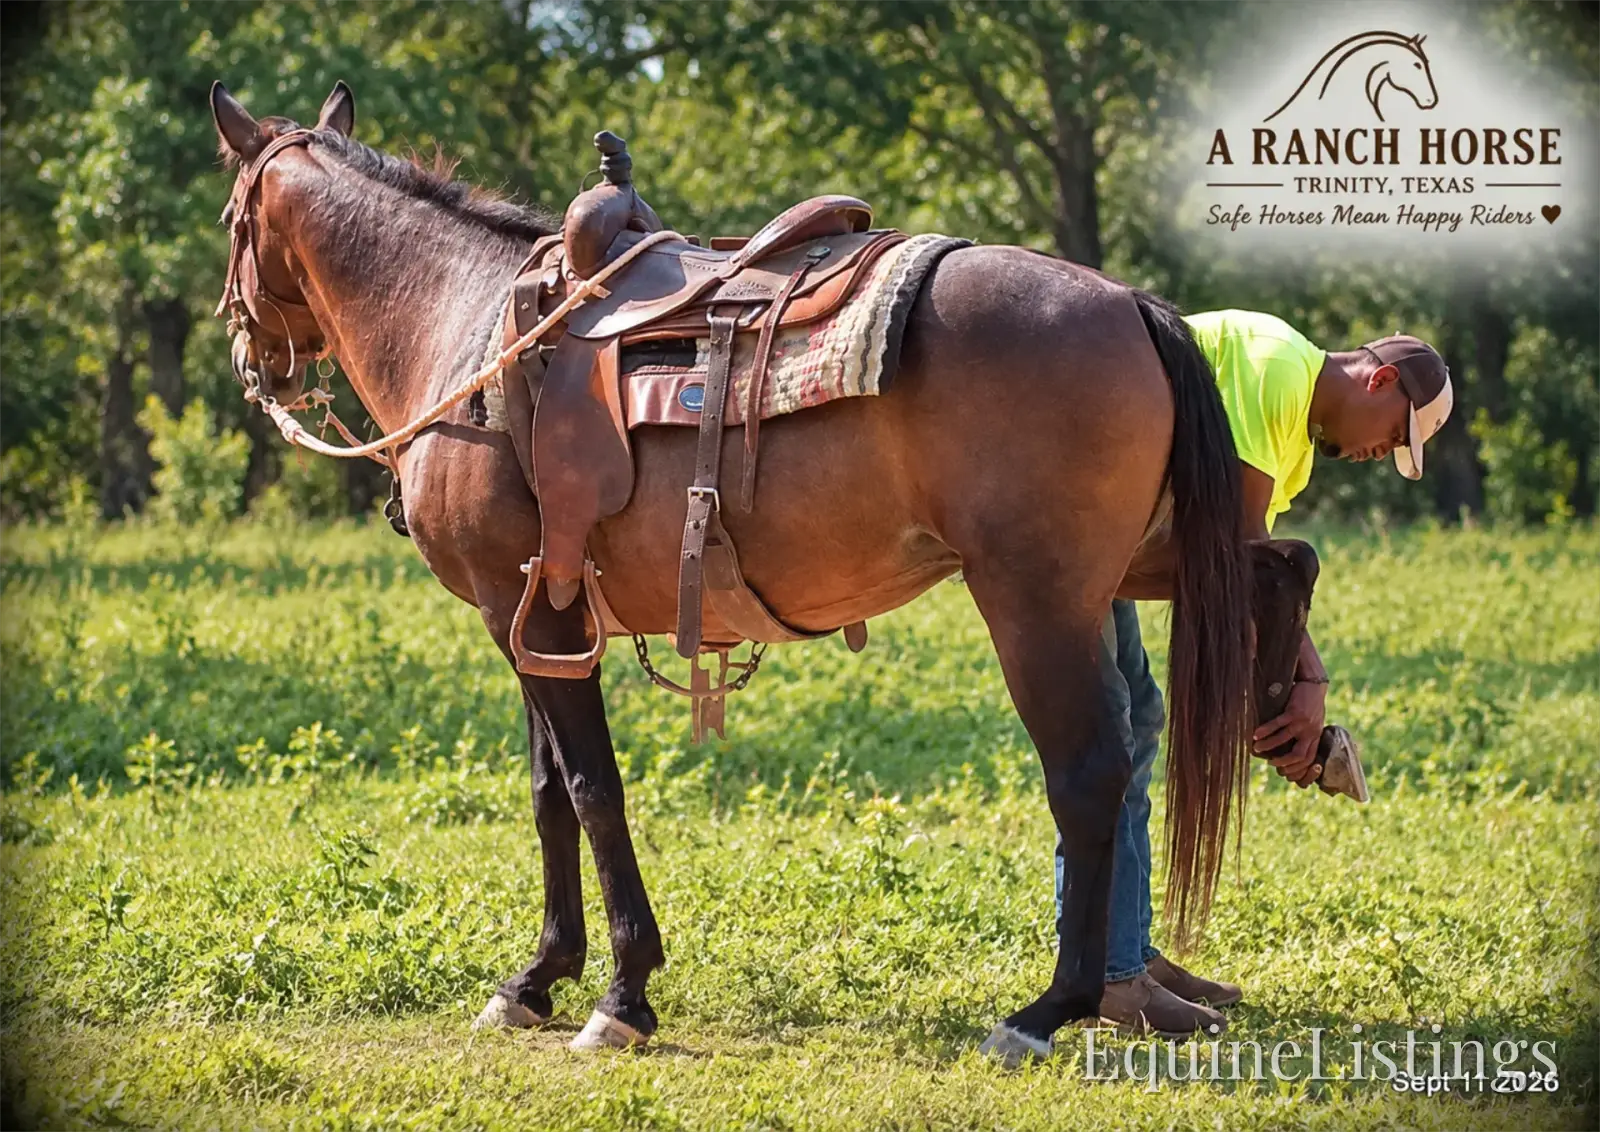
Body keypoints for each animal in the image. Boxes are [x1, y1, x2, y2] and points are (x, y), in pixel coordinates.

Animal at [208, 80, 1317, 1060]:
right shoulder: (532, 614)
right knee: (1279, 565)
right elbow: (547, 792)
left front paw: (621, 992)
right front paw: (536, 978)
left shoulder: (530, 617)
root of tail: (1130, 303)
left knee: (1089, 775)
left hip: (1039, 599)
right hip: (1139, 562)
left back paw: (1047, 1010)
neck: (467, 322)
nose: (255, 362)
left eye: (230, 220)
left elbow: (591, 789)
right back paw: (1285, 712)